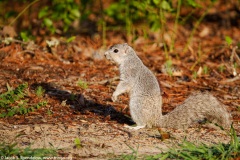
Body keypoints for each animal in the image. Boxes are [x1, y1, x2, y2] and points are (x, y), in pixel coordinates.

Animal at [104, 43, 232, 129]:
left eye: (115, 50)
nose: (105, 55)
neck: (128, 59)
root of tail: (157, 120)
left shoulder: (130, 74)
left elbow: (123, 85)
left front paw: (114, 95)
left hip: (137, 105)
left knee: (145, 124)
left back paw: (134, 126)